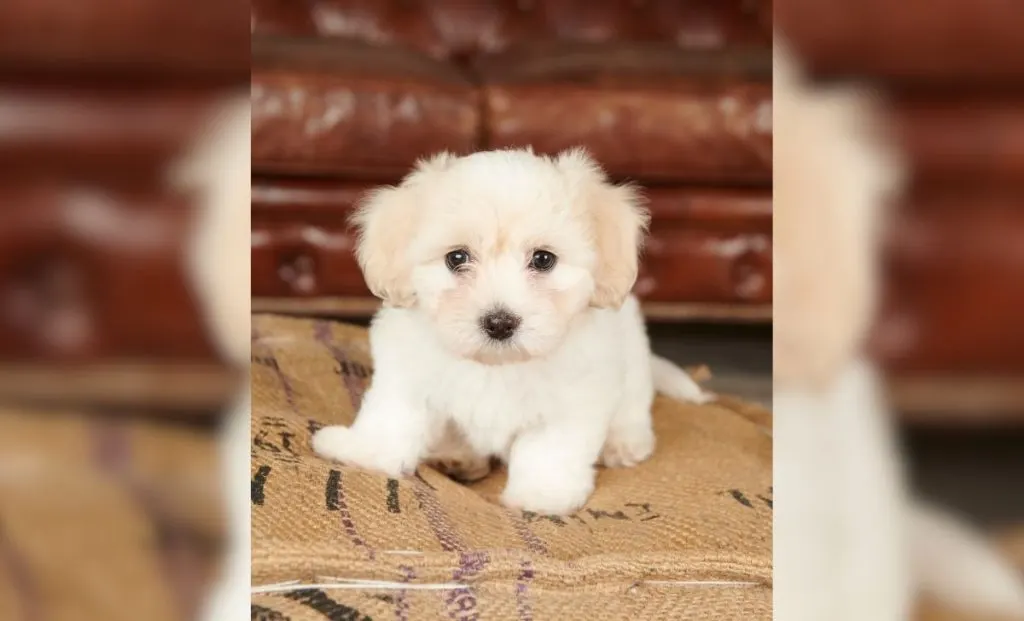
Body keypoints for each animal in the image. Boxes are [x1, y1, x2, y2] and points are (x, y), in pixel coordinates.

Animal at [311, 149, 712, 516]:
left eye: (543, 259)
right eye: (457, 258)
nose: (500, 322)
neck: (497, 365)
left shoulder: (573, 399)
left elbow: (548, 450)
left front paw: (542, 495)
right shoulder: (407, 373)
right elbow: (393, 415)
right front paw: (366, 452)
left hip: (632, 355)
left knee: (633, 405)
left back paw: (624, 443)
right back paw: (457, 457)